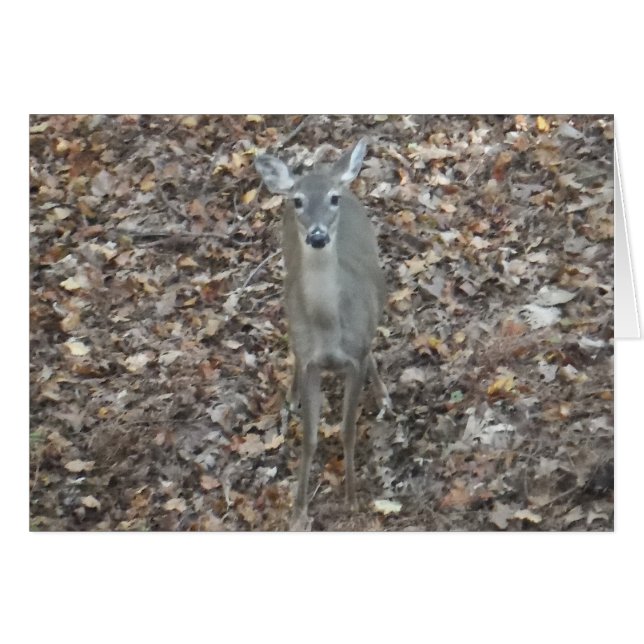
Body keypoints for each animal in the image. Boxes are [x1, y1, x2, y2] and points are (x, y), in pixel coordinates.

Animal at [255, 138, 390, 529]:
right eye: (298, 201)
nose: (317, 236)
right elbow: (310, 438)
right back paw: (289, 398)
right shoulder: (310, 362)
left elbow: (347, 429)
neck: (330, 328)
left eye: (332, 198)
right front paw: (299, 511)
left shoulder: (354, 359)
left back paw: (383, 395)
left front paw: (352, 498)